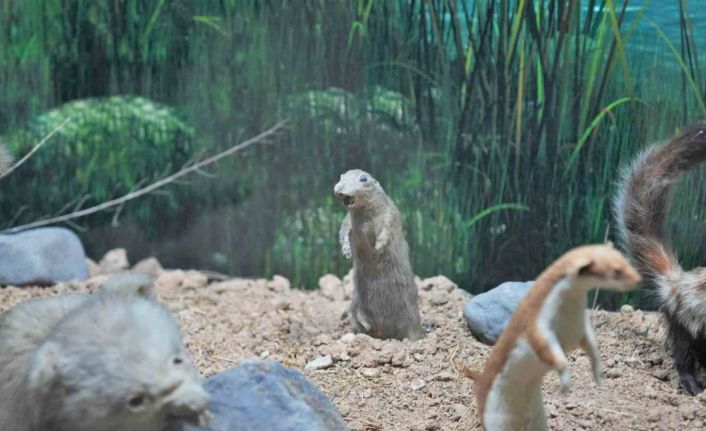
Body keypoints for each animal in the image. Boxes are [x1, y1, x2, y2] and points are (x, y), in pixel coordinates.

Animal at [335, 169, 425, 341]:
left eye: (363, 179)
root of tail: (384, 333)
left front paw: (378, 247)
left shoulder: (390, 213)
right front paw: (346, 251)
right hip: (355, 307)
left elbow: (387, 229)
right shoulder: (348, 220)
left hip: (411, 315)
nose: (339, 188)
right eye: (341, 176)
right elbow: (343, 230)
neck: (363, 214)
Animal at [462, 244, 640, 431]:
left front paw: (598, 373)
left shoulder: (581, 326)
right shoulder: (537, 327)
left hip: (539, 420)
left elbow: (591, 344)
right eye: (616, 271)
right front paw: (565, 382)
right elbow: (549, 352)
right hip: (497, 419)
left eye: (626, 260)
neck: (568, 318)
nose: (639, 279)